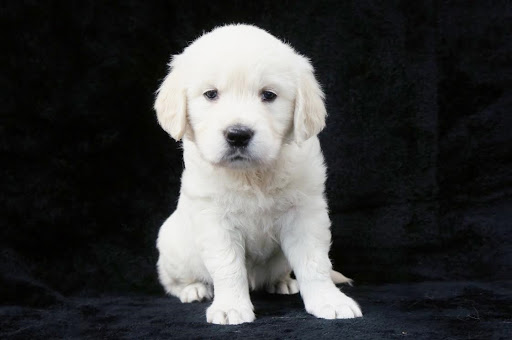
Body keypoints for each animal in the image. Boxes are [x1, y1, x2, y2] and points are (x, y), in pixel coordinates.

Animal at [154, 22, 362, 326]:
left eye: (269, 95)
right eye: (211, 94)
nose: (238, 135)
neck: (252, 175)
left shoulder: (305, 213)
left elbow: (315, 262)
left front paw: (329, 301)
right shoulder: (215, 219)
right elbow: (228, 267)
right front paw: (230, 307)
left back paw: (283, 282)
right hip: (172, 244)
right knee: (173, 280)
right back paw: (194, 289)